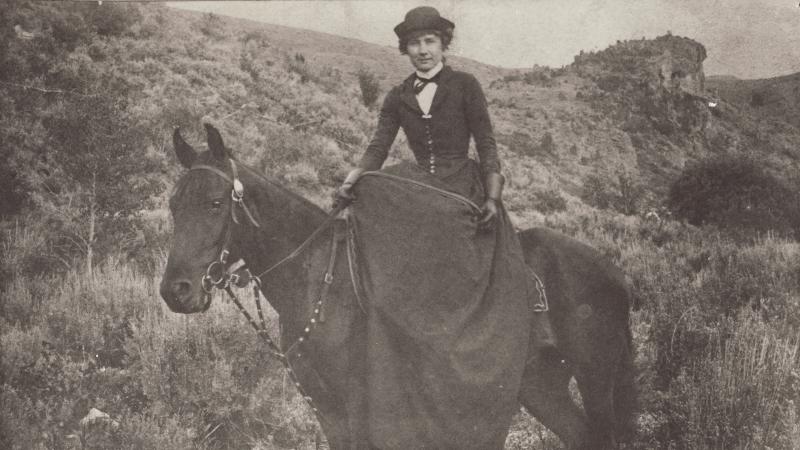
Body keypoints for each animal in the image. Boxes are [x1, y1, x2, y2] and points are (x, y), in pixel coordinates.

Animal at [161, 124, 636, 450]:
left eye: (215, 203)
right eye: (173, 204)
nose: (175, 292)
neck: (319, 281)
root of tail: (615, 273)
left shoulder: (361, 404)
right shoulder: (327, 407)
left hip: (595, 376)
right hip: (540, 383)